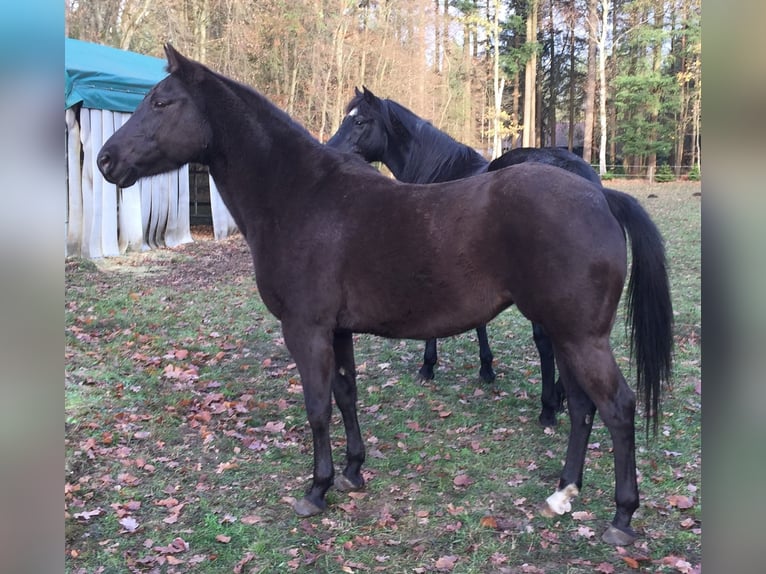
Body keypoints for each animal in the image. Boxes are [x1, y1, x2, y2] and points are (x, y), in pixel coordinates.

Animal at [327, 87, 603, 427]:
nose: (330, 150)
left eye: (360, 121)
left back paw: (549, 407)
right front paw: (486, 368)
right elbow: (480, 321)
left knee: (547, 341)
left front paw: (428, 366)